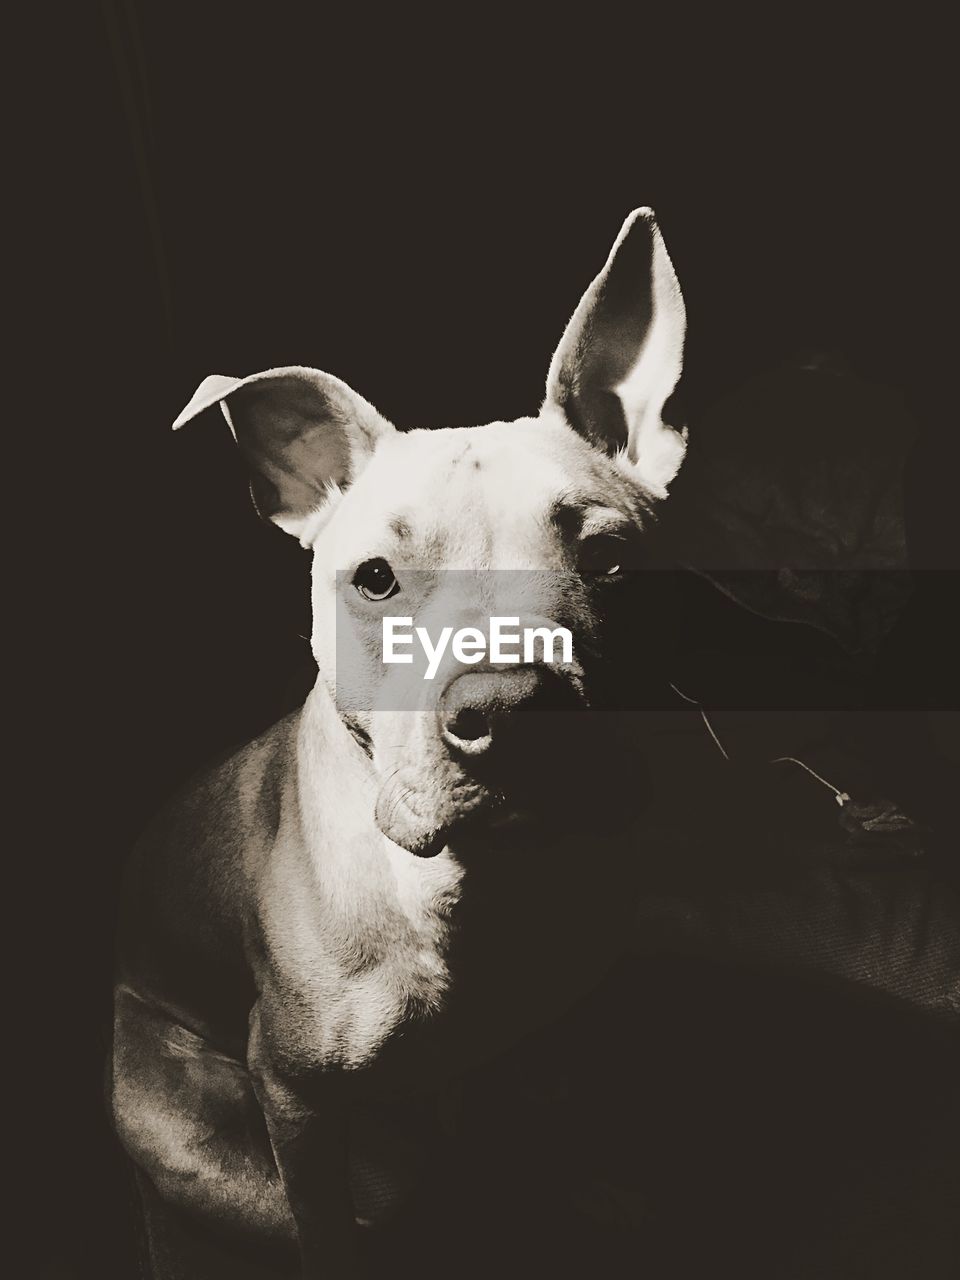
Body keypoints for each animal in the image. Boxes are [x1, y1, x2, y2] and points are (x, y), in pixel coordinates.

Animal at [112, 204, 691, 1274]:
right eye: (375, 579)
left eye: (609, 557)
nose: (510, 709)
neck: (479, 892)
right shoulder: (299, 1102)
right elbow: (327, 1224)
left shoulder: (553, 1032)